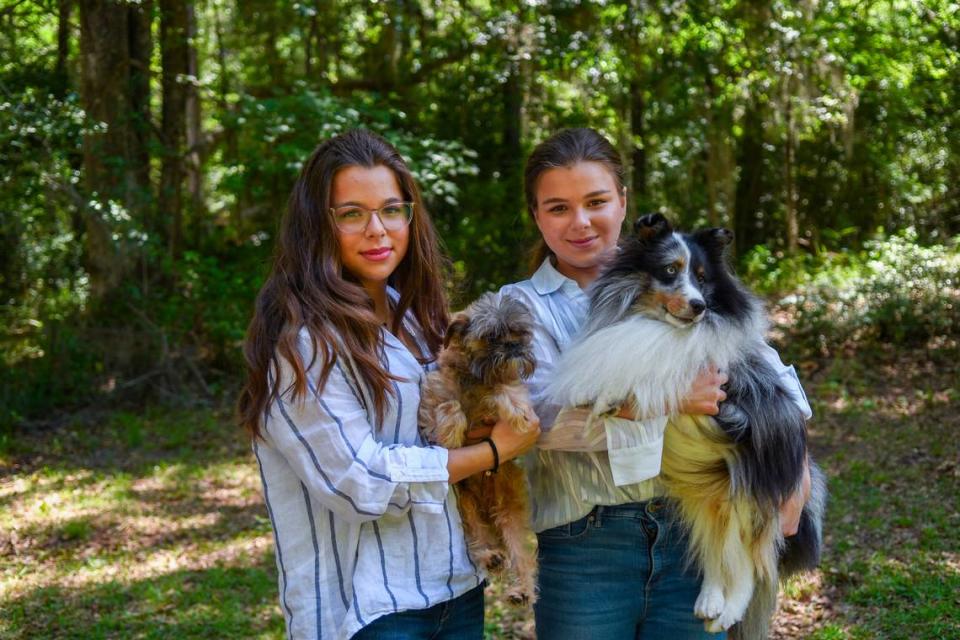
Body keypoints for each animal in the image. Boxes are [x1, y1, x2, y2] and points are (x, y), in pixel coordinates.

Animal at [420, 292, 540, 608]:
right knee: (477, 541)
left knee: (523, 559)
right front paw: (450, 432)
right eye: (492, 337)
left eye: (519, 333)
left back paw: (521, 591)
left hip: (510, 518)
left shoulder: (501, 389)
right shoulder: (433, 397)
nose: (513, 346)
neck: (476, 376)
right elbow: (451, 404)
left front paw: (516, 409)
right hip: (468, 510)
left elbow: (503, 390)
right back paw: (490, 556)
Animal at [548, 214, 824, 636]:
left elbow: (654, 376)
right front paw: (596, 395)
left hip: (752, 485)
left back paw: (727, 610)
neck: (662, 326)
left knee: (750, 562)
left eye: (702, 276)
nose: (698, 306)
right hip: (709, 495)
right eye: (669, 271)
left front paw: (617, 396)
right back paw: (710, 601)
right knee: (718, 548)